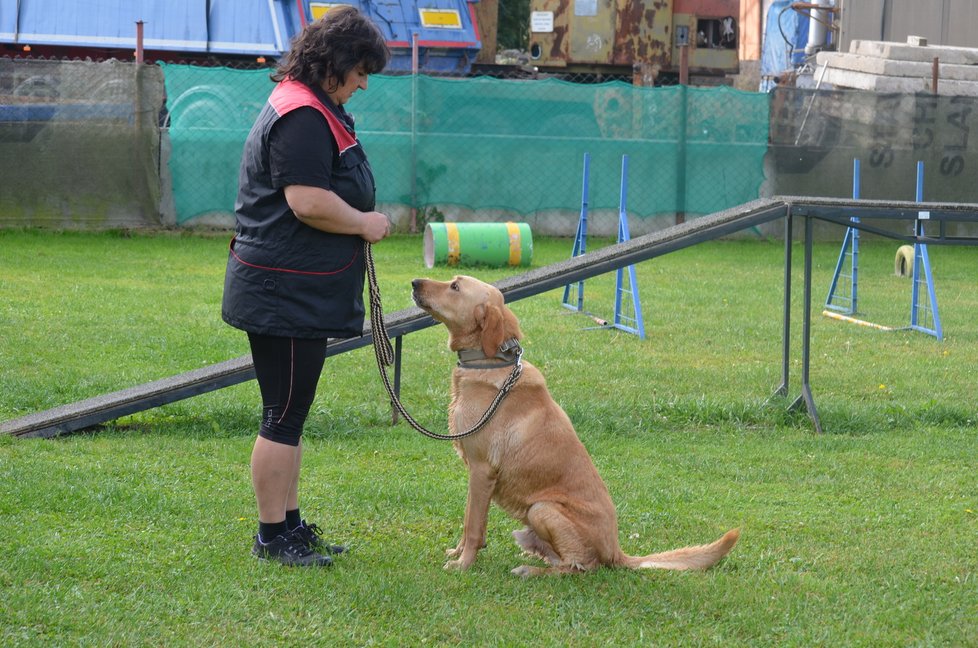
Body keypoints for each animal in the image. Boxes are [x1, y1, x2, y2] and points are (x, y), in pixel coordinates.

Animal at [408, 274, 736, 576]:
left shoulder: (481, 471)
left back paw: (532, 571)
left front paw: (463, 564)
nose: (414, 282)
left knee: (578, 567)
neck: (490, 364)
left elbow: (473, 525)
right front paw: (458, 552)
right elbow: (470, 521)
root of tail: (617, 551)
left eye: (455, 287)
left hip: (542, 509)